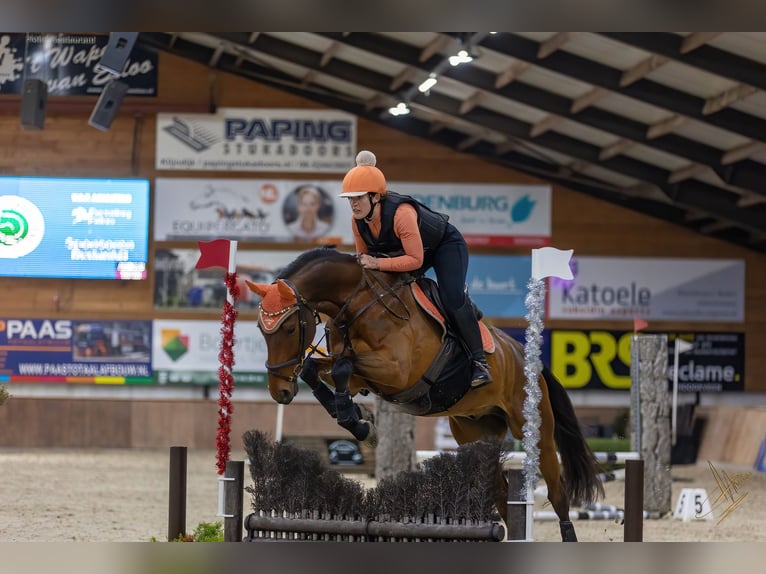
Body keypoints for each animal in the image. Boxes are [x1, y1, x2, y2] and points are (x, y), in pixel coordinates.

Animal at [246, 247, 604, 542]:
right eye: (261, 330)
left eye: (289, 328)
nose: (280, 391)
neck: (359, 306)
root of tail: (526, 358)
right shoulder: (359, 374)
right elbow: (318, 369)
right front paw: (359, 421)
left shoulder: (396, 371)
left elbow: (342, 368)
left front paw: (360, 423)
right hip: (476, 431)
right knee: (502, 495)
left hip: (535, 431)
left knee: (557, 493)